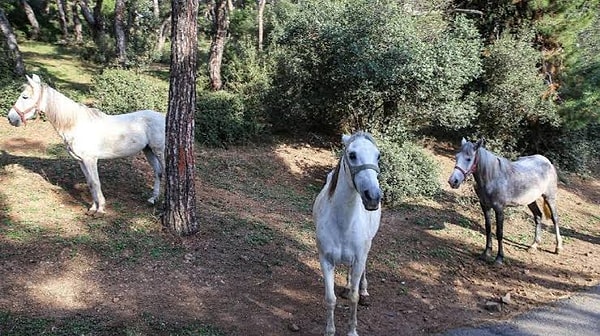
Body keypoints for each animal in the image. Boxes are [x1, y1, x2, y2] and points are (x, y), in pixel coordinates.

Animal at [7, 74, 166, 215]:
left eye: (25, 97)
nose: (11, 118)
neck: (76, 124)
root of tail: (163, 117)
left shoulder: (91, 160)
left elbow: (96, 182)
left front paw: (100, 210)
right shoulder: (81, 161)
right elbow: (90, 183)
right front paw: (92, 208)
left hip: (159, 152)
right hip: (148, 151)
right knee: (158, 172)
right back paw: (153, 199)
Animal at [312, 131, 382, 336]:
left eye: (378, 156)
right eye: (352, 155)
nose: (373, 197)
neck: (343, 223)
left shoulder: (359, 258)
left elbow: (354, 298)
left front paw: (352, 331)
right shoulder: (325, 260)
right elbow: (330, 298)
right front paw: (329, 331)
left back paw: (364, 291)